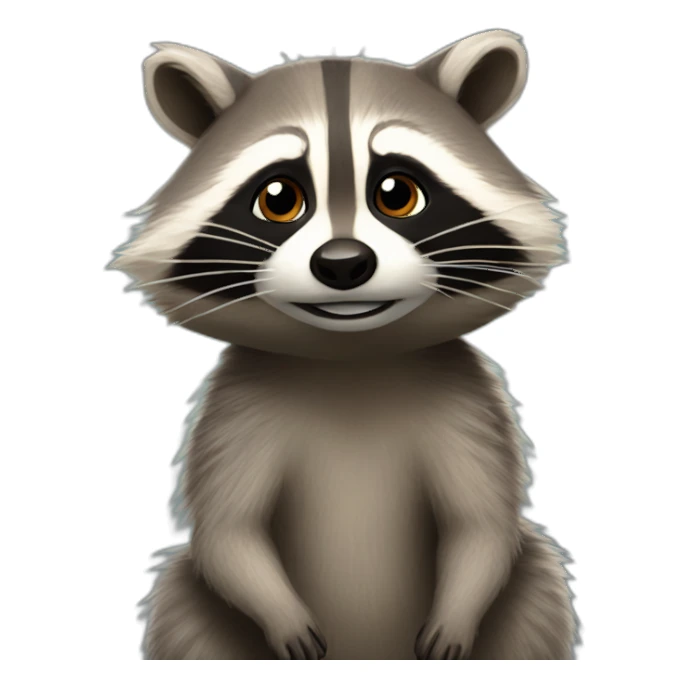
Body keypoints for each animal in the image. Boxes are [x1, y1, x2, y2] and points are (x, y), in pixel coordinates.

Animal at [116, 30, 576, 660]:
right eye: (278, 198)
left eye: (397, 193)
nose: (342, 263)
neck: (351, 362)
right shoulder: (237, 409)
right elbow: (228, 530)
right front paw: (282, 615)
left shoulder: (468, 404)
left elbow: (480, 522)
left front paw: (456, 616)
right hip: (198, 614)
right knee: (181, 602)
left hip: (527, 600)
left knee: (538, 586)